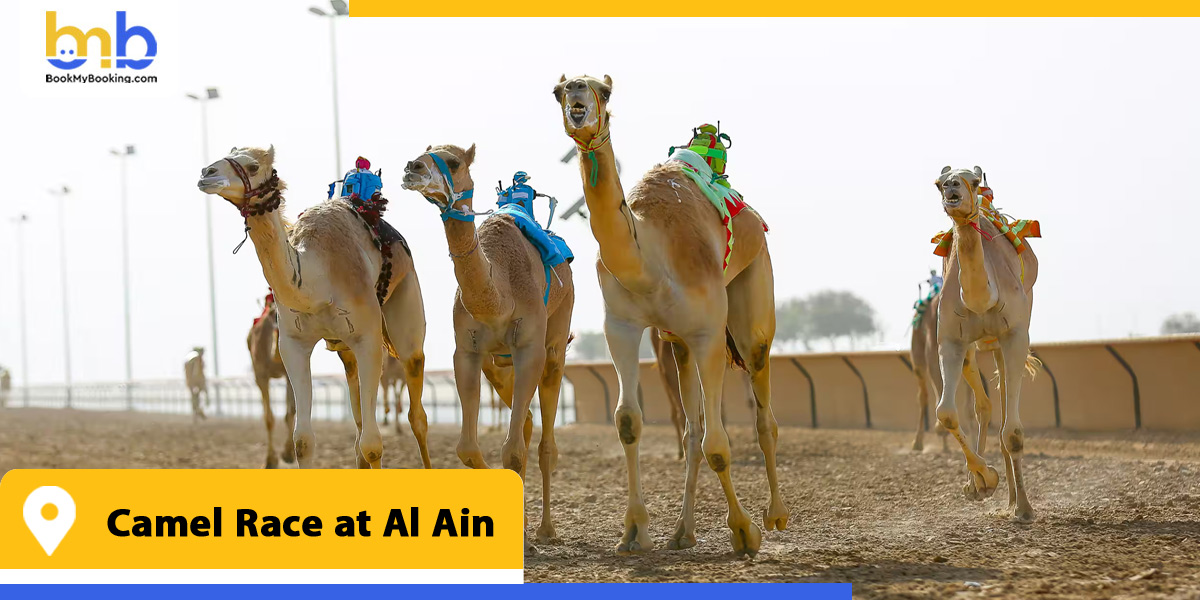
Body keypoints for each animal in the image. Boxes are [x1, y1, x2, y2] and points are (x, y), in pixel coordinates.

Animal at [246, 291, 297, 468]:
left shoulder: (289, 373)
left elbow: (291, 411)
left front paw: (288, 453)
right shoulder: (260, 374)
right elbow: (268, 418)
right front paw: (270, 460)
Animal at [400, 141, 573, 552]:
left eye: (452, 161)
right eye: (423, 151)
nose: (412, 168)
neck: (498, 296)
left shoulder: (530, 349)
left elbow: (512, 450)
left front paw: (527, 537)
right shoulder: (467, 351)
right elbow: (468, 449)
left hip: (556, 339)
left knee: (545, 442)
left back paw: (546, 529)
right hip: (497, 365)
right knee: (525, 422)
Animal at [554, 76, 787, 556]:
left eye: (605, 92)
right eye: (557, 91)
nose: (578, 96)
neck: (649, 257)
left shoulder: (708, 332)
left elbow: (719, 443)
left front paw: (744, 531)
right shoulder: (621, 326)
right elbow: (629, 422)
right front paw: (634, 532)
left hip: (752, 301)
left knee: (763, 414)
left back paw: (775, 515)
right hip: (677, 343)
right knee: (691, 432)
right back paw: (682, 532)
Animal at [931, 166, 1036, 523]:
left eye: (974, 182)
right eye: (939, 182)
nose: (952, 187)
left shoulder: (1015, 334)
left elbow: (1013, 431)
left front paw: (1025, 510)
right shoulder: (951, 339)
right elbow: (946, 413)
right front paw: (983, 480)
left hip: (1009, 337)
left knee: (1004, 408)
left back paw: (1015, 501)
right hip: (975, 348)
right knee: (984, 406)